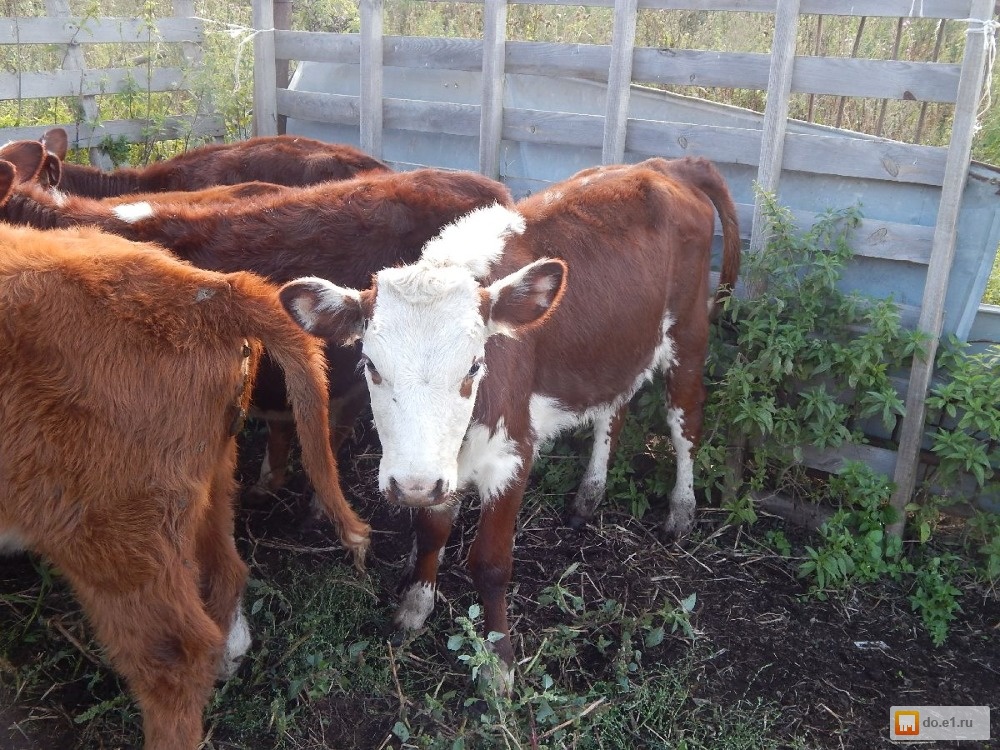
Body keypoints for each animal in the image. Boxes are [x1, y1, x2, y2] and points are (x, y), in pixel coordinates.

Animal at [282, 157, 744, 680]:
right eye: (370, 365)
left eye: (474, 366)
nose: (411, 485)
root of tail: (667, 164)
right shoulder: (442, 466)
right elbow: (431, 532)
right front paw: (416, 605)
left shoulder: (513, 452)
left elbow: (491, 563)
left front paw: (498, 662)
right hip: (618, 346)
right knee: (614, 410)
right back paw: (589, 494)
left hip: (689, 334)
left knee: (685, 421)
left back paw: (681, 508)